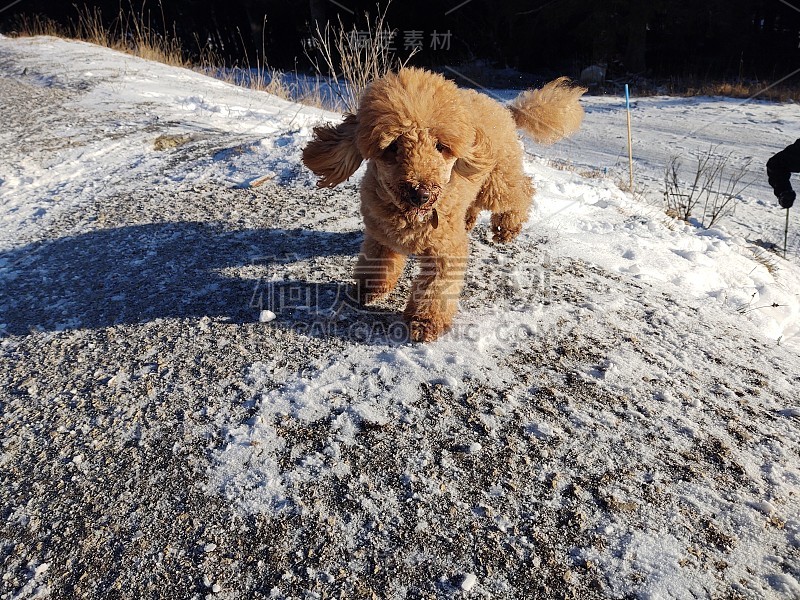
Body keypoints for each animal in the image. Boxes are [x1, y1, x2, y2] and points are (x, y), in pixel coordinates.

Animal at [304, 67, 584, 340]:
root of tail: (505, 109)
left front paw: (425, 322)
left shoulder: (446, 250)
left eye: (440, 146)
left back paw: (507, 227)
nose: (421, 194)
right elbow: (377, 266)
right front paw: (369, 291)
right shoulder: (380, 237)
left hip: (496, 180)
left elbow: (437, 288)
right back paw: (470, 220)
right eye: (393, 146)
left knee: (520, 191)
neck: (413, 215)